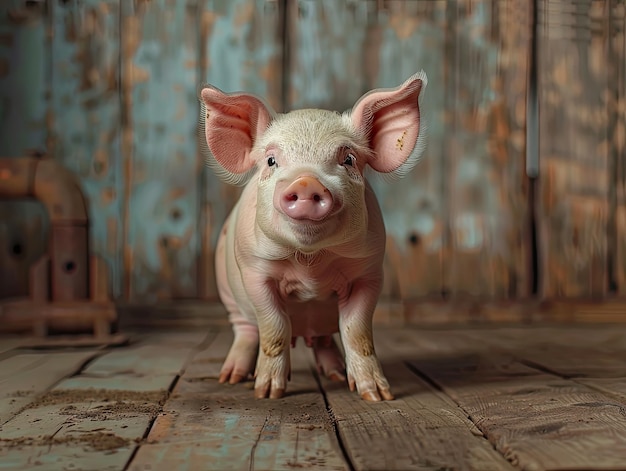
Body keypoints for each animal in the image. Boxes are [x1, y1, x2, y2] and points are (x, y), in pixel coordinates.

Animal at [199, 72, 424, 404]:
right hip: (227, 293)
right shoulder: (255, 271)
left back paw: (336, 375)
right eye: (270, 161)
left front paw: (377, 396)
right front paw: (268, 394)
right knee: (247, 330)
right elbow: (274, 328)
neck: (310, 265)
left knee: (323, 339)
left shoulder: (369, 272)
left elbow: (357, 331)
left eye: (348, 159)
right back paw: (231, 378)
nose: (306, 182)